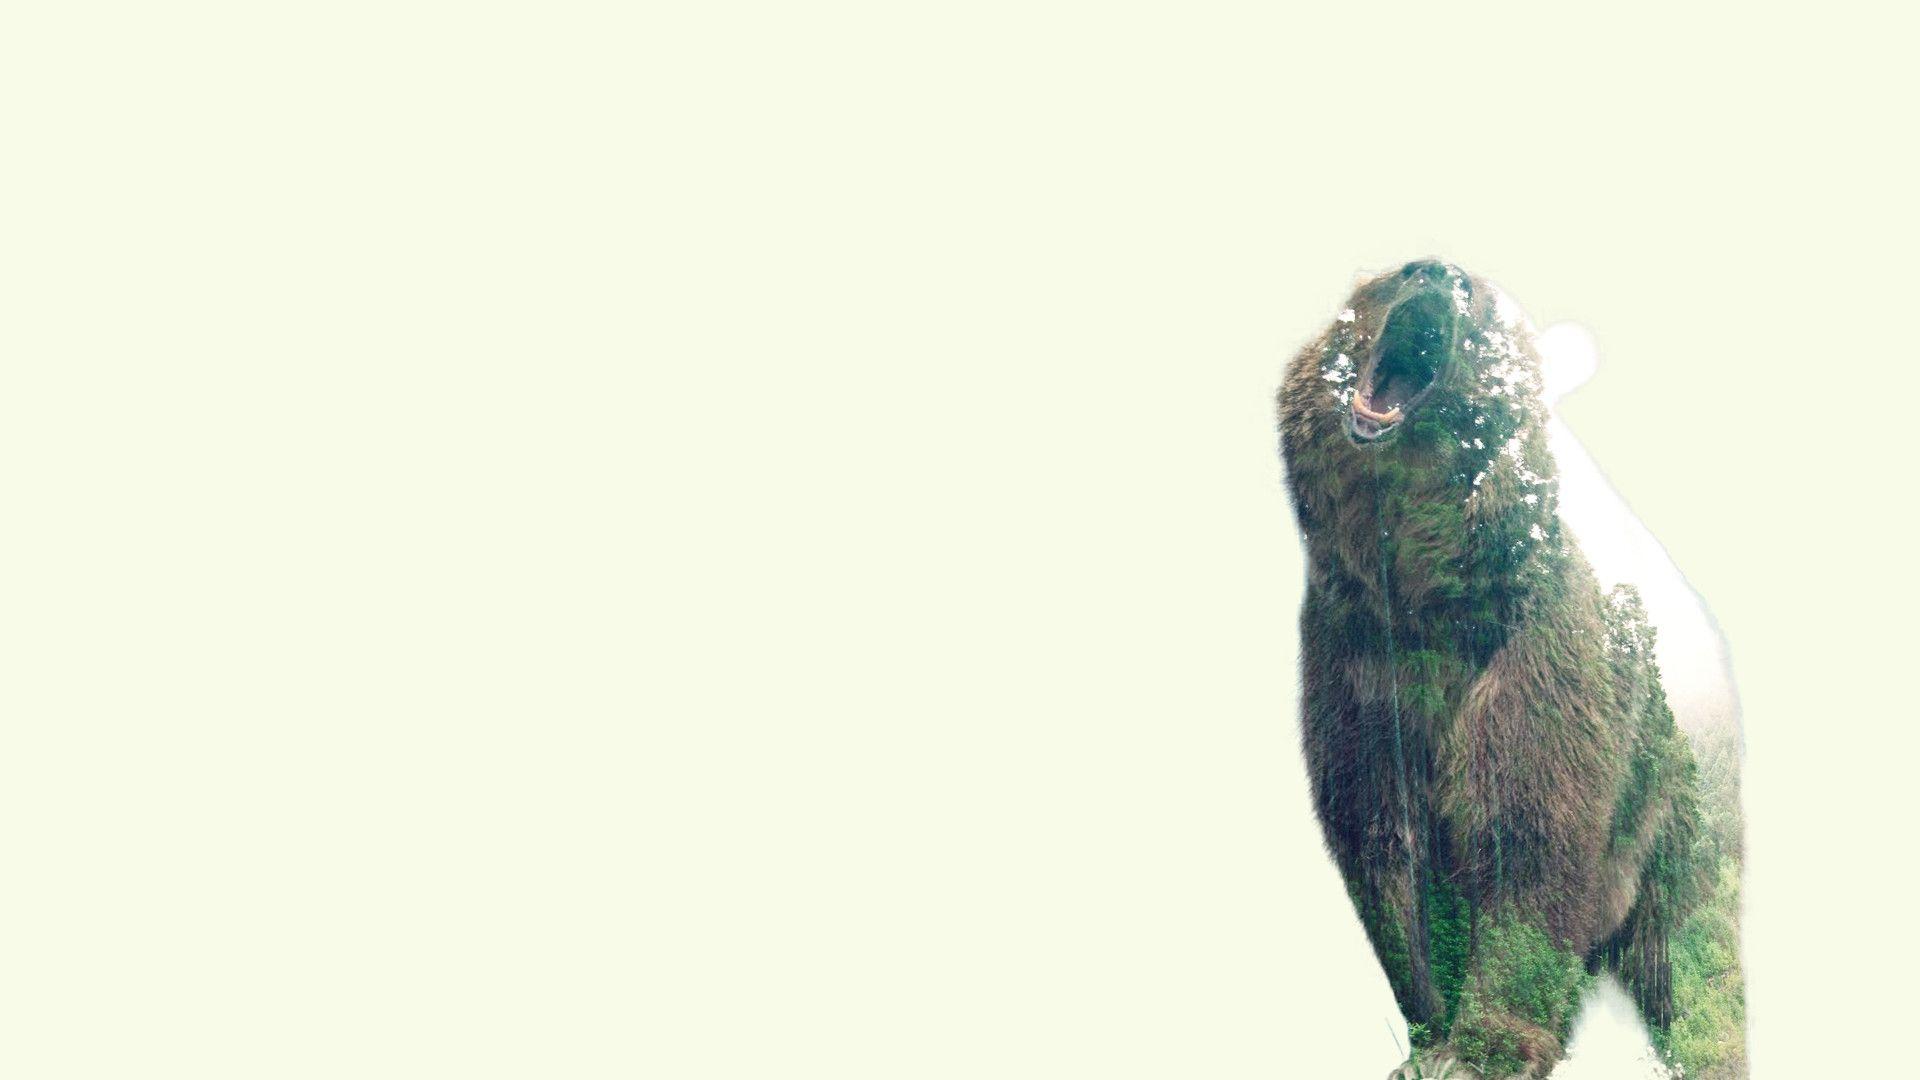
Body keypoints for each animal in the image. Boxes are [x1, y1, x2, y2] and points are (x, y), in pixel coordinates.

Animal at [1276, 261, 1746, 1079]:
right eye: (1395, 274)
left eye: (1481, 298)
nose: (1438, 274)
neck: (1425, 592)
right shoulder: (1360, 660)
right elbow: (1382, 839)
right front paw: (1427, 1032)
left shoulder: (1533, 661)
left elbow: (1525, 837)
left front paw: (1487, 1048)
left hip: (1678, 836)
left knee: (1695, 967)